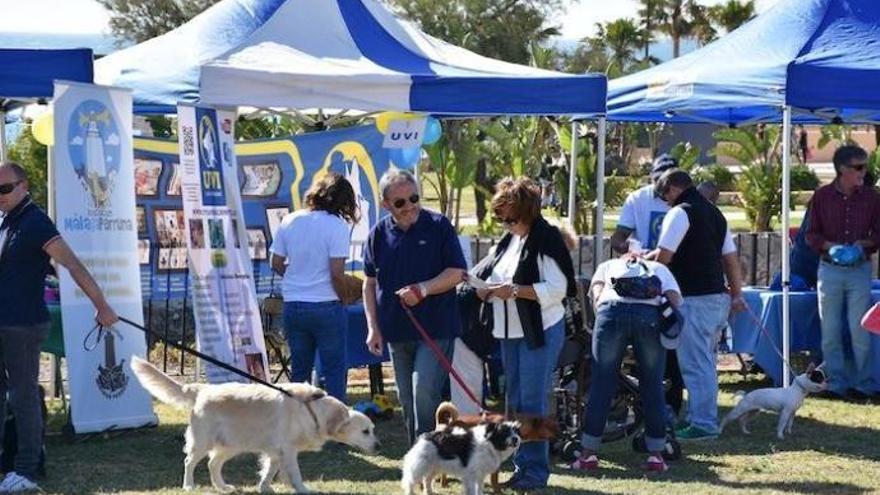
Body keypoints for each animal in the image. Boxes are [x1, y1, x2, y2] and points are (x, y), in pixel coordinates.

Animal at [131, 356, 378, 492]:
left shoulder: (276, 452)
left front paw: (265, 488)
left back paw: (222, 487)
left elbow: (269, 472)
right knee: (189, 462)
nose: (378, 446)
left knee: (212, 464)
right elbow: (295, 475)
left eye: (372, 430)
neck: (311, 409)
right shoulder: (288, 450)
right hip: (202, 442)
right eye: (365, 431)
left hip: (230, 445)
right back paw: (189, 485)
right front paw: (304, 490)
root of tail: (202, 389)